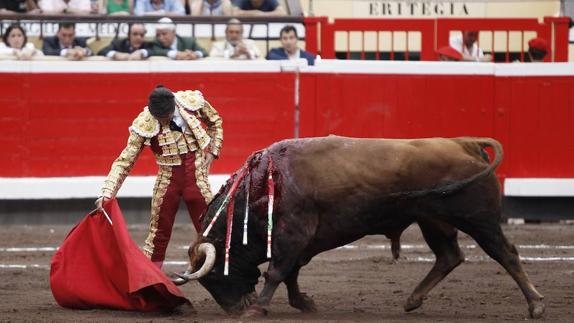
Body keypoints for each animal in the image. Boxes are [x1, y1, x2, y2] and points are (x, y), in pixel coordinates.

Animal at [173, 136, 548, 318]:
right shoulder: (303, 239)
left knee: (505, 253)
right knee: (449, 256)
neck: (264, 182)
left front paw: (258, 308)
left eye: (212, 276)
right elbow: (291, 271)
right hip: (433, 220)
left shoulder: (294, 232)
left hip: (478, 219)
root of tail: (464, 143)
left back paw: (536, 305)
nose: (233, 309)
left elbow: (278, 270)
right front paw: (303, 303)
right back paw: (413, 300)